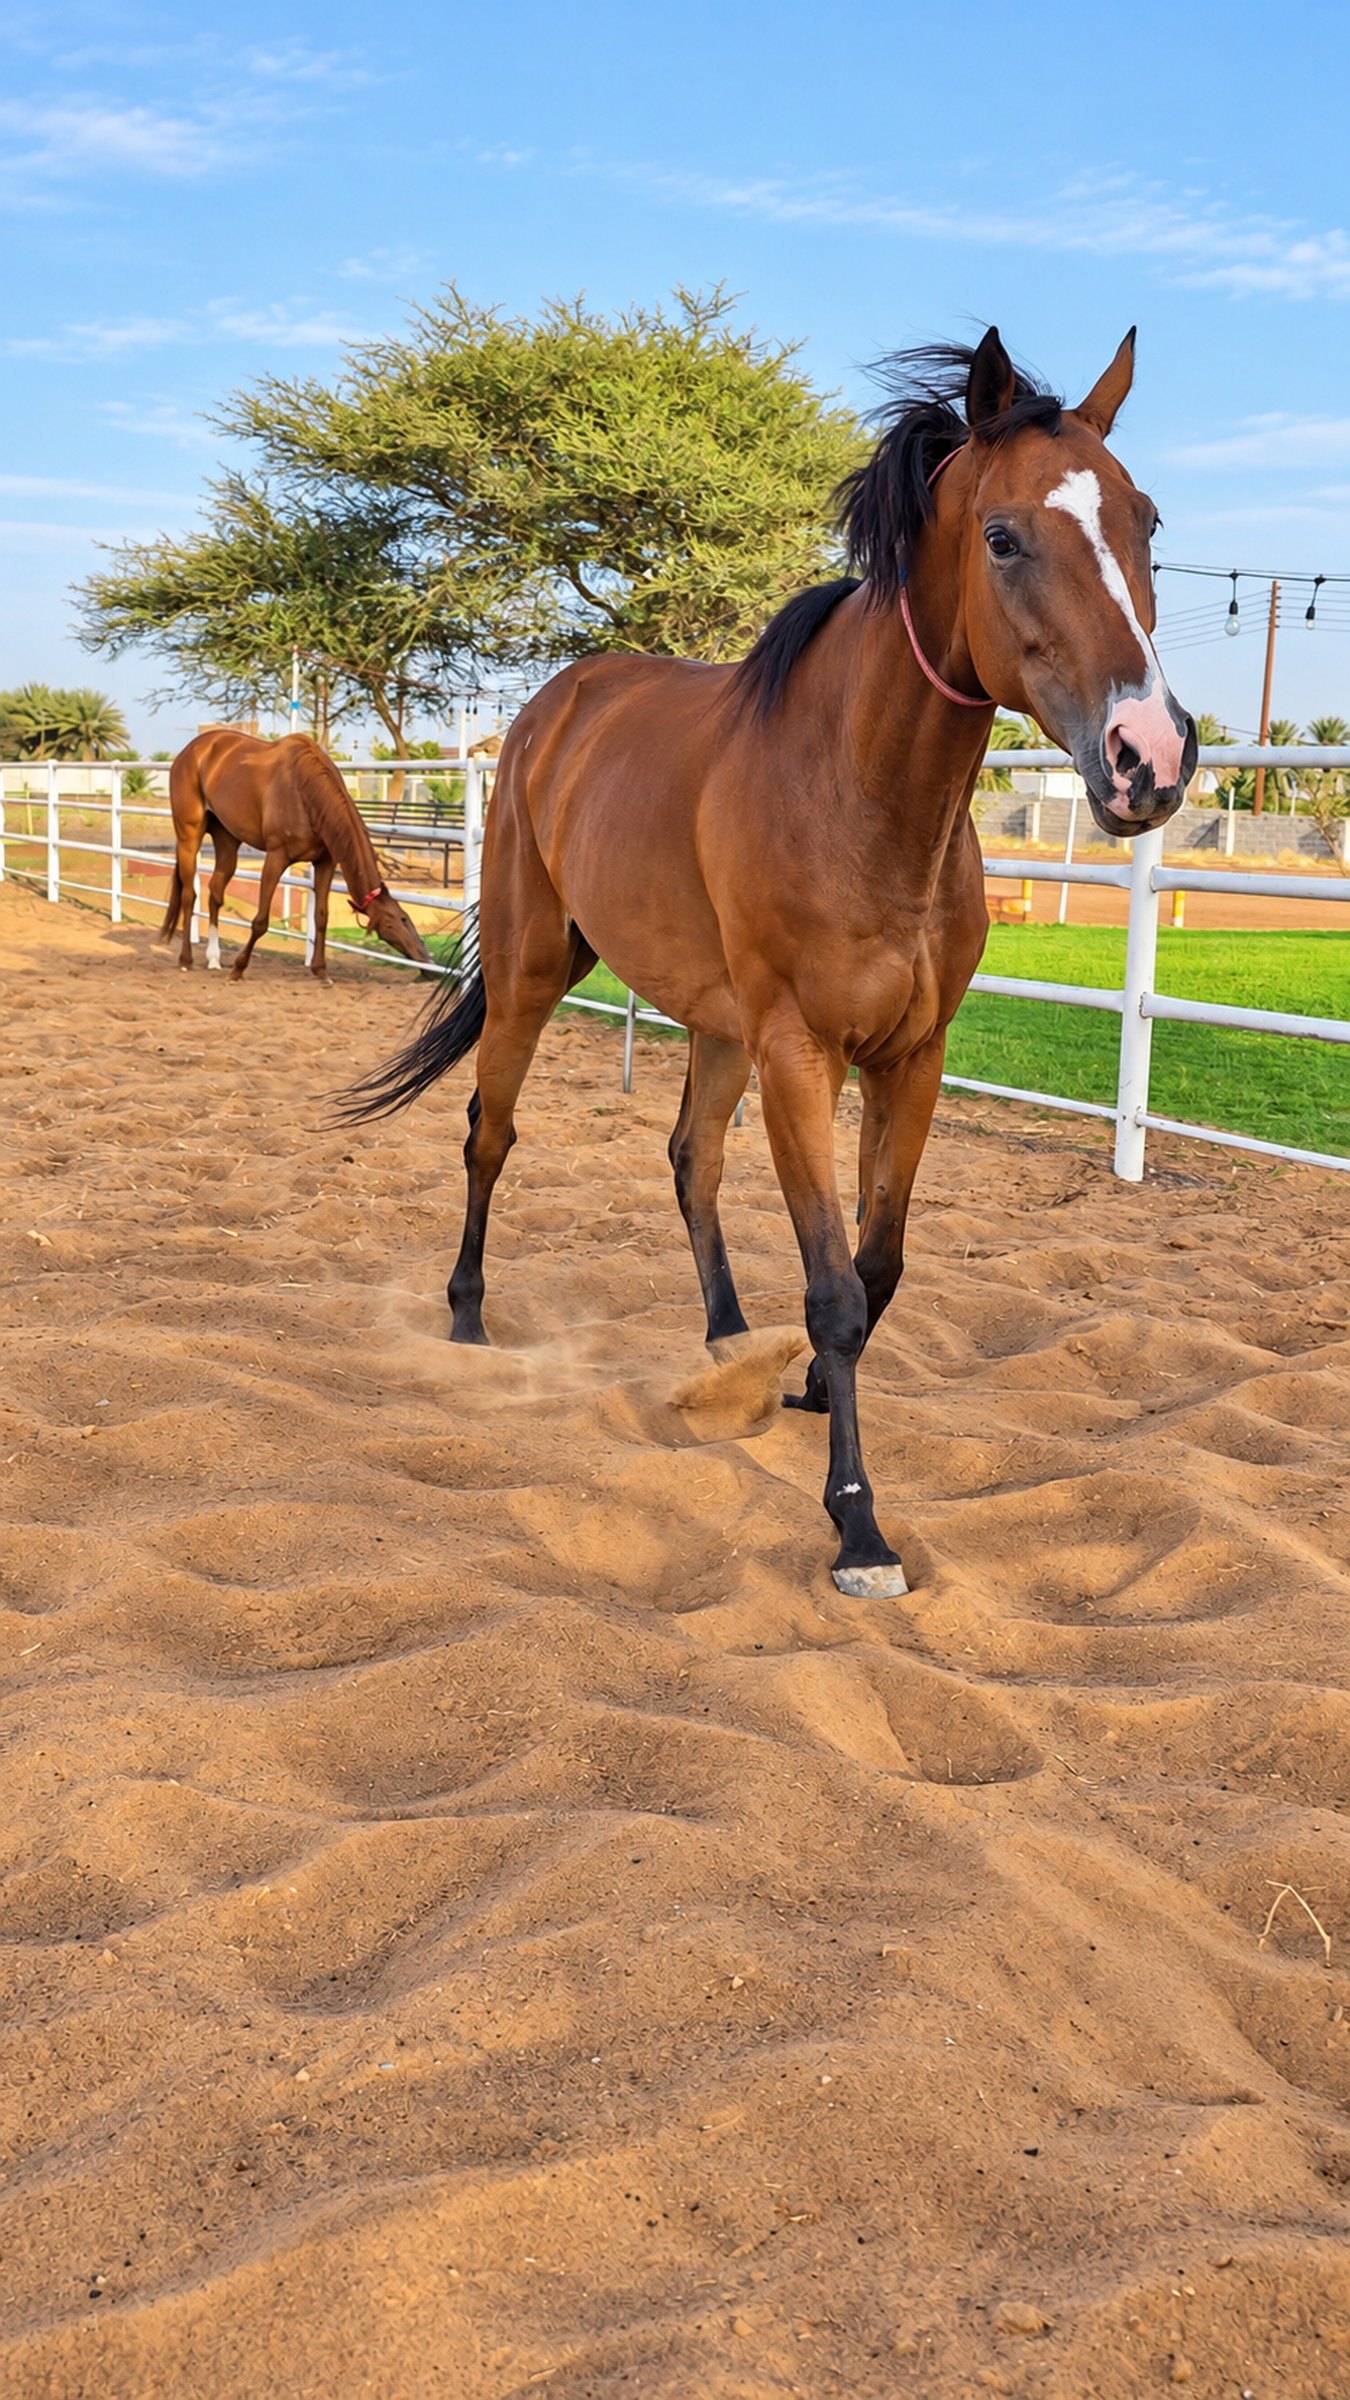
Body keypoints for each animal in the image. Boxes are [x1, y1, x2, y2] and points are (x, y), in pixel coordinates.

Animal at [162, 730, 431, 980]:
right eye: (393, 922)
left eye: (406, 917)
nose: (427, 962)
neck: (305, 792)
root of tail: (189, 752)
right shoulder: (276, 858)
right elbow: (260, 921)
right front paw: (238, 968)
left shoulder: (325, 862)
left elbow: (321, 917)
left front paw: (321, 970)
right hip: (189, 835)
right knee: (189, 895)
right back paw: (186, 959)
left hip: (227, 839)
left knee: (215, 893)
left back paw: (214, 958)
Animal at [341, 328, 1195, 1598]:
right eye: (1002, 536)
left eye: (1145, 522)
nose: (1150, 756)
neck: (859, 796)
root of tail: (556, 706)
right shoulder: (804, 1053)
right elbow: (835, 1288)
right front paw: (857, 1526)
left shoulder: (909, 1059)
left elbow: (878, 1268)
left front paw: (800, 1392)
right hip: (542, 972)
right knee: (490, 1136)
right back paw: (467, 1319)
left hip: (716, 1024)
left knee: (690, 1159)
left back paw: (727, 1344)